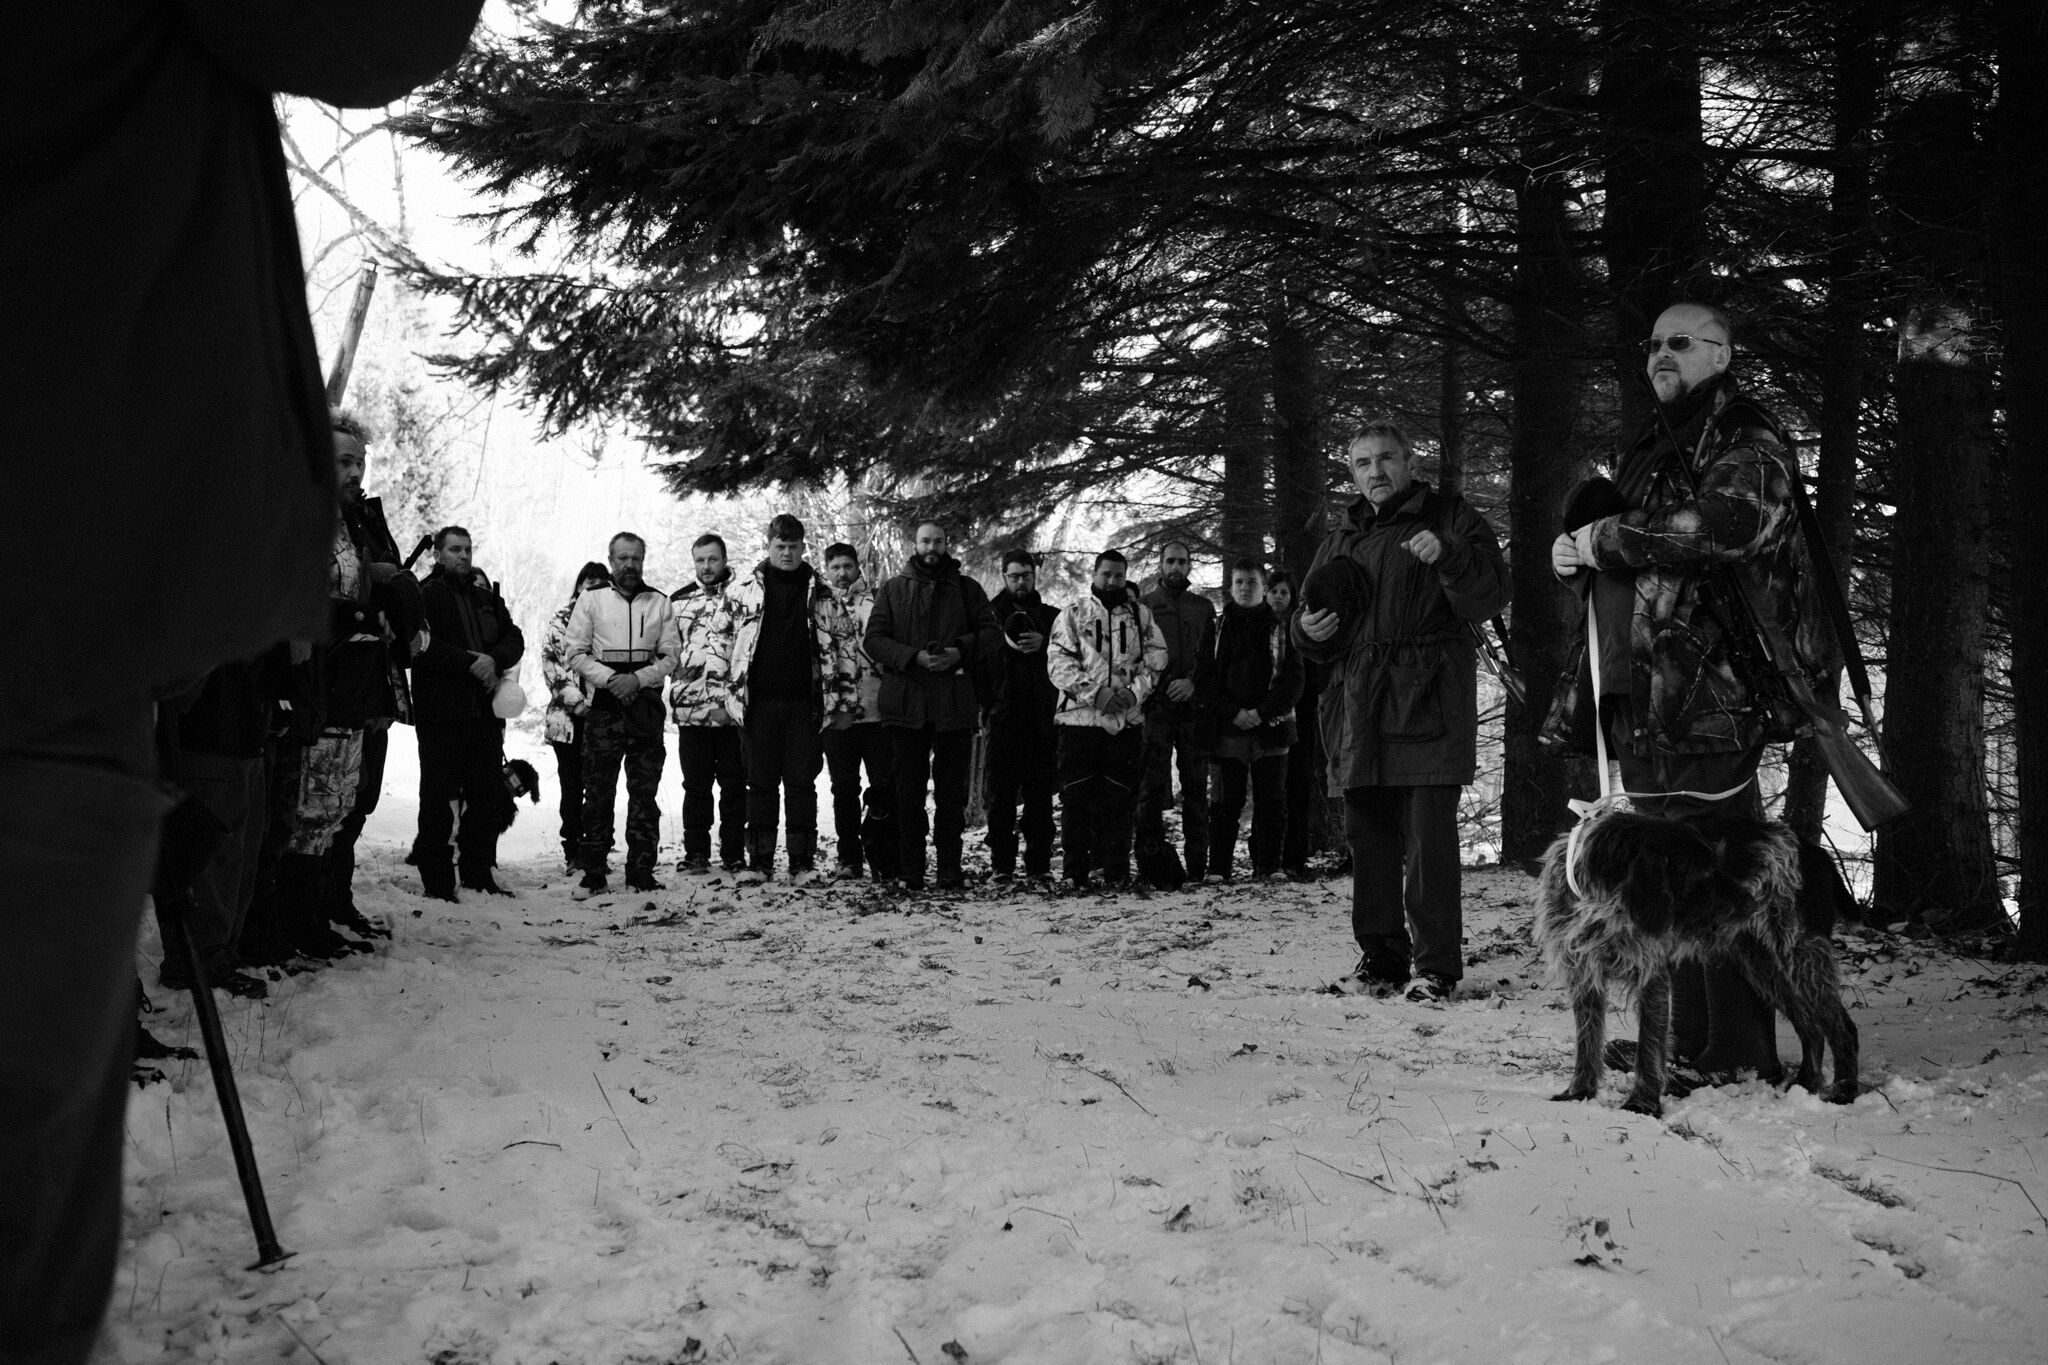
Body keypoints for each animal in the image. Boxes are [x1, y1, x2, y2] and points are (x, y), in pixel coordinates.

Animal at [1534, 805, 1858, 1117]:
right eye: (1702, 872)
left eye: (1718, 862)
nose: (1751, 902)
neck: (1601, 905)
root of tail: (1819, 854)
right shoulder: (1583, 974)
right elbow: (1587, 1041)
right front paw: (1579, 1093)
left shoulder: (1651, 975)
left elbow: (1648, 1048)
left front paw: (1642, 1104)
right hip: (1766, 967)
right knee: (1812, 1028)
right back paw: (1805, 1085)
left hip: (1801, 957)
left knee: (1842, 1028)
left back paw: (1843, 1092)